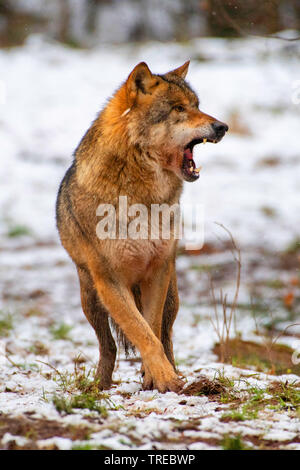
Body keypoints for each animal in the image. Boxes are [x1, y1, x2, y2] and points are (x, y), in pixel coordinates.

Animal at [56, 62, 229, 392]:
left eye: (197, 106)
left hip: (172, 296)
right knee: (108, 345)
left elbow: (150, 330)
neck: (143, 198)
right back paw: (100, 385)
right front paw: (163, 378)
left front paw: (156, 377)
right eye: (178, 109)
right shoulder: (110, 281)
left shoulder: (157, 271)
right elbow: (140, 333)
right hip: (91, 299)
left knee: (166, 334)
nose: (222, 127)